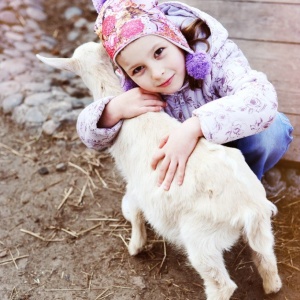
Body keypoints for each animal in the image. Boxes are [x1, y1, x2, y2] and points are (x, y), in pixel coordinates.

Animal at [37, 42, 282, 300]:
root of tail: (250, 207)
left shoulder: (136, 186)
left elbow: (133, 212)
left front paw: (135, 247)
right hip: (261, 228)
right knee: (266, 257)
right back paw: (271, 286)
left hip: (201, 238)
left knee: (222, 285)